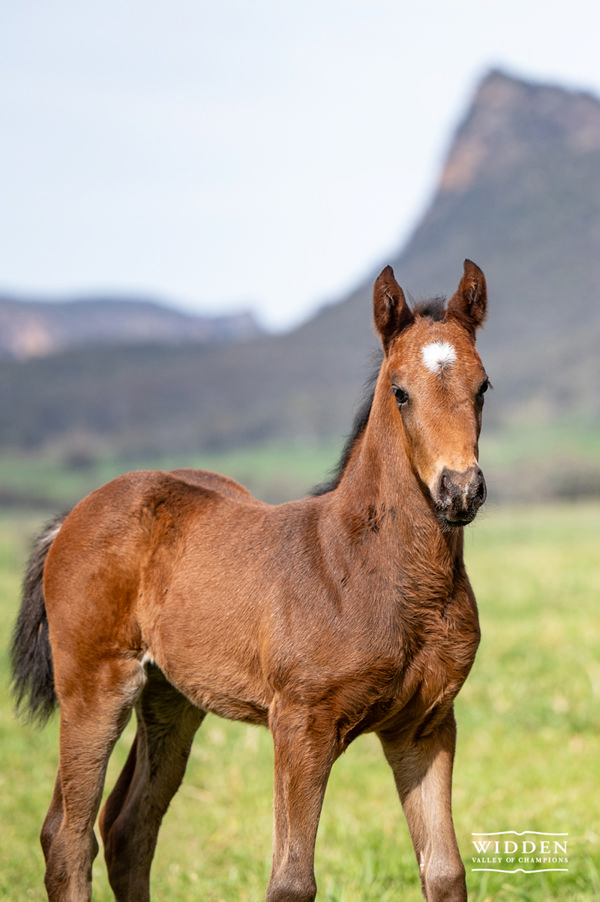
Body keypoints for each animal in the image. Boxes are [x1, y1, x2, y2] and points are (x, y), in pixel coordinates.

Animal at [11, 259, 490, 902]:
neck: (375, 572)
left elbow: (443, 872)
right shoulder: (300, 725)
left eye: (483, 387)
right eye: (400, 391)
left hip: (171, 697)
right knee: (69, 838)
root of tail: (74, 515)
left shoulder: (426, 726)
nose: (460, 490)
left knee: (127, 827)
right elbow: (291, 880)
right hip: (95, 685)